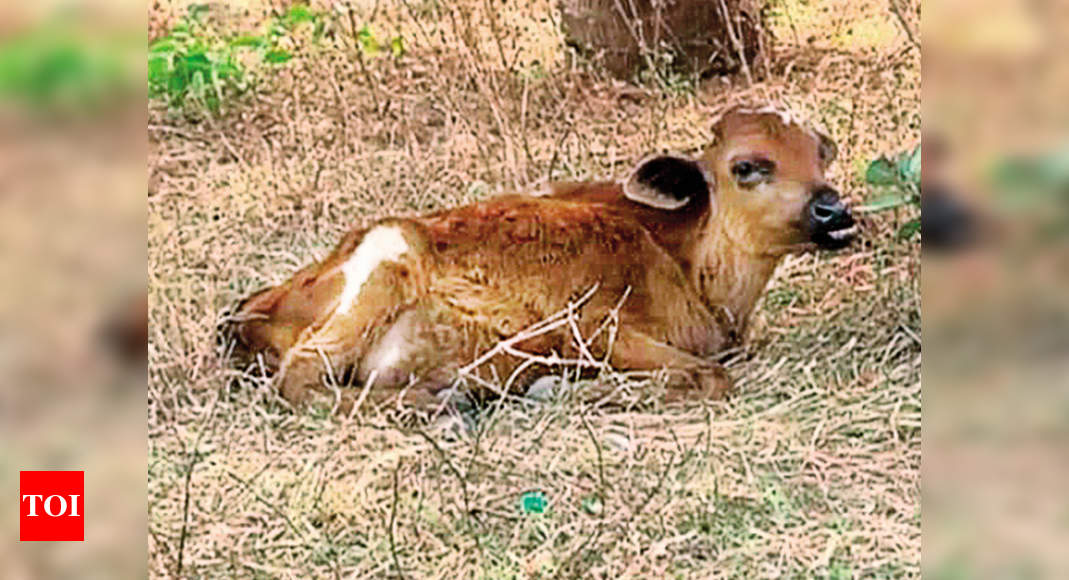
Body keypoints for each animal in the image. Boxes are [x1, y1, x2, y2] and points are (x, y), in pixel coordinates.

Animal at [221, 107, 855, 412]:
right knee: (298, 377)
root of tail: (252, 310)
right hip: (385, 255)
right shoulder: (591, 325)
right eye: (748, 166)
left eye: (821, 153)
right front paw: (555, 389)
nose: (834, 211)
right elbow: (708, 375)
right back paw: (433, 406)